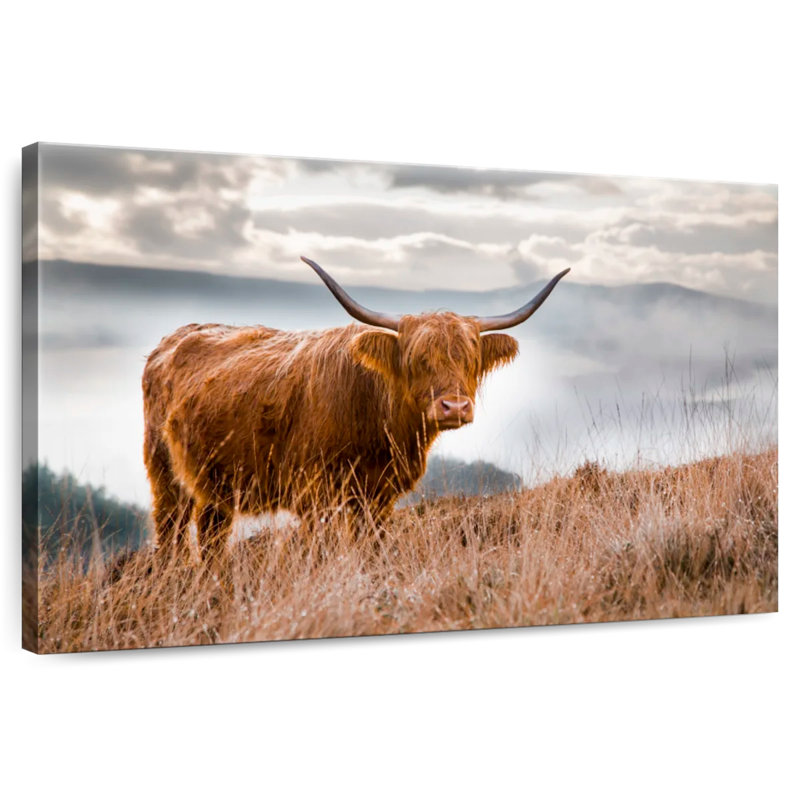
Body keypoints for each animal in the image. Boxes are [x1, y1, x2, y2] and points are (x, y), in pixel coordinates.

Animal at [142, 257, 569, 564]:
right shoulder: (315, 494)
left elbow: (370, 548)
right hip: (165, 473)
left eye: (470, 359)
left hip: (214, 486)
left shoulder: (379, 496)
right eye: (417, 359)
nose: (455, 406)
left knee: (211, 534)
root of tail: (171, 339)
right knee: (171, 531)